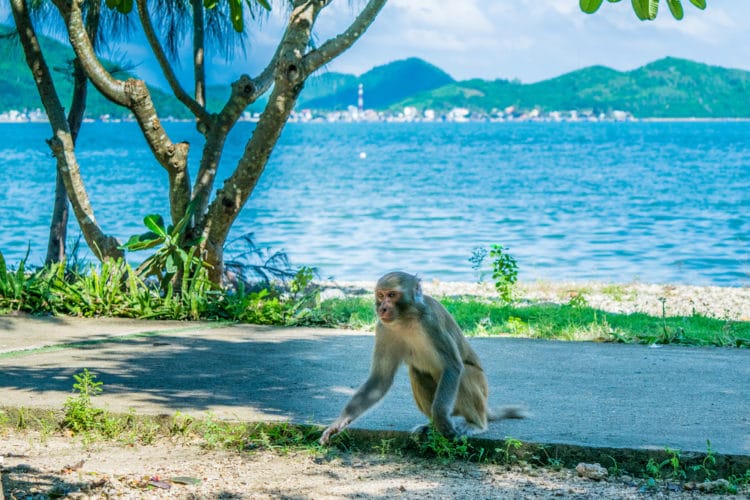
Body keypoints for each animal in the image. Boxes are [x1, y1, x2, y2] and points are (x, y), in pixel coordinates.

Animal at [319, 271, 524, 445]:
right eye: (381, 295)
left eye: (392, 295)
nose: (383, 308)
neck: (406, 318)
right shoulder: (383, 328)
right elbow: (380, 380)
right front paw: (339, 422)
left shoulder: (431, 323)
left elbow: (452, 366)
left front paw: (441, 420)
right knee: (417, 372)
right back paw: (431, 427)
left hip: (479, 388)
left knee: (464, 373)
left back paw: (474, 424)